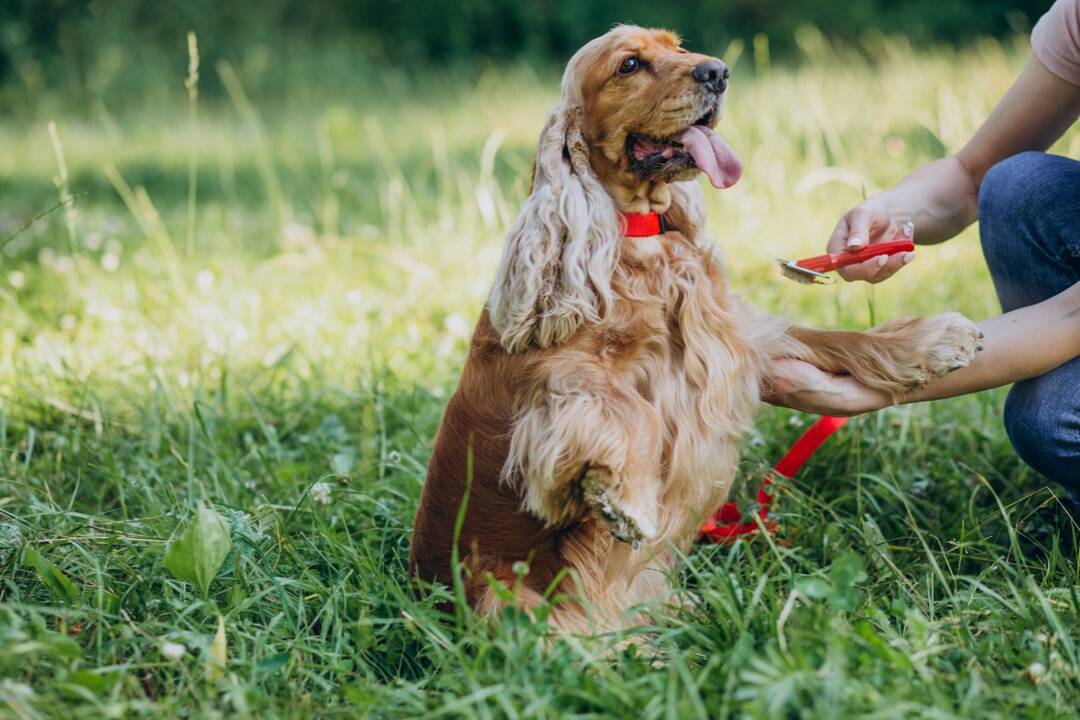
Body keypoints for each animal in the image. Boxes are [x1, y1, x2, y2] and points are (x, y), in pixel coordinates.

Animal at [406, 25, 980, 634]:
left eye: (678, 47)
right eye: (629, 65)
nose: (718, 72)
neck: (639, 238)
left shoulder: (735, 342)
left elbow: (830, 338)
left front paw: (937, 341)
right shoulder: (554, 378)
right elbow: (623, 408)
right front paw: (624, 498)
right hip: (503, 597)